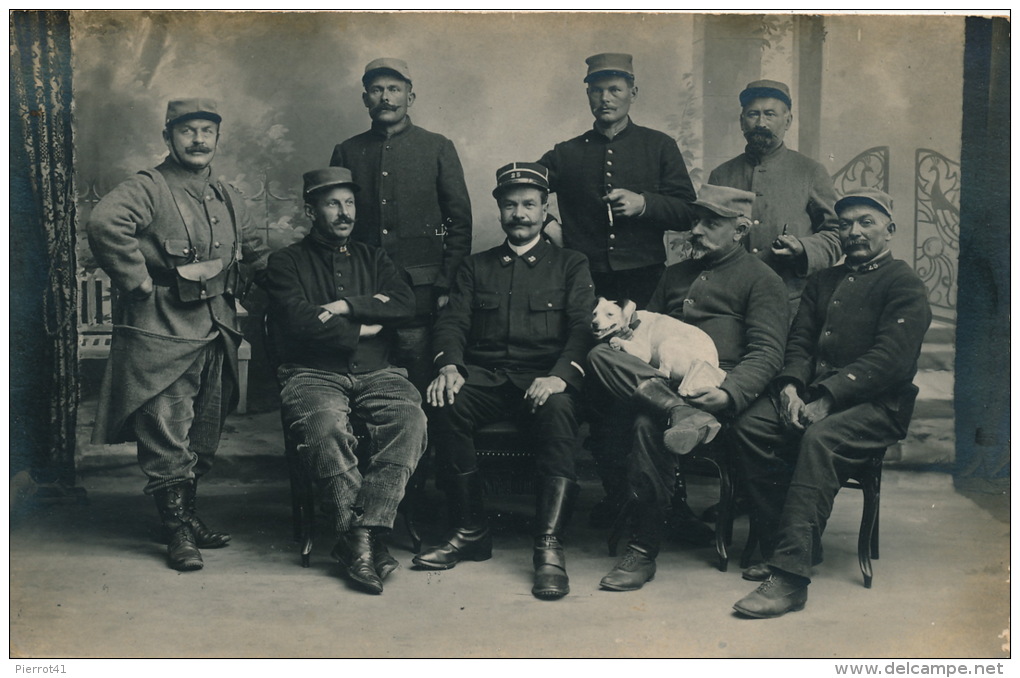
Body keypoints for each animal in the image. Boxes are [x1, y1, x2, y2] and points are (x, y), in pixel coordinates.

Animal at [591, 295, 726, 391]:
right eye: (594, 313)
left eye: (610, 314)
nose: (594, 324)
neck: (633, 322)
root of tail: (713, 364)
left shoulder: (644, 352)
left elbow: (617, 340)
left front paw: (616, 341)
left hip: (667, 344)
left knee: (664, 373)